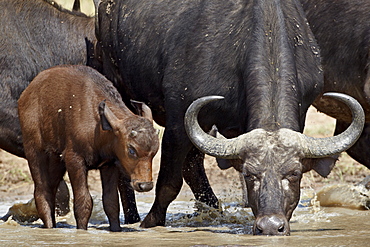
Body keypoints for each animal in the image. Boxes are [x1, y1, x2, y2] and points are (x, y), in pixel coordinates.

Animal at [17, 65, 159, 230]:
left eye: (155, 152)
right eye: (131, 149)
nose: (145, 185)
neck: (98, 126)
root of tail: (25, 95)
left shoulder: (109, 165)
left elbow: (111, 203)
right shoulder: (74, 160)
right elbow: (83, 202)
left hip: (56, 160)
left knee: (51, 190)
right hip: (35, 151)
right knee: (41, 192)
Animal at [95, 0, 364, 235]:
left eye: (294, 174)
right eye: (249, 175)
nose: (270, 227)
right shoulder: (178, 123)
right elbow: (169, 183)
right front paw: (150, 223)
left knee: (193, 166)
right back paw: (131, 217)